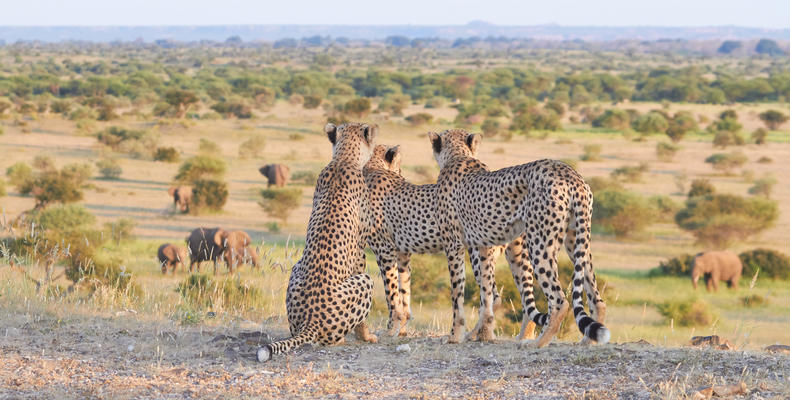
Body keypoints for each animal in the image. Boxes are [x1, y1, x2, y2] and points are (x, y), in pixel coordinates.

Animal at [257, 123, 379, 362]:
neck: (344, 158)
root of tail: (310, 322)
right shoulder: (360, 249)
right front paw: (366, 336)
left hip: (296, 270)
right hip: (365, 281)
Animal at [427, 128, 609, 347]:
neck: (458, 155)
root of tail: (569, 173)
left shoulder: (454, 246)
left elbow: (457, 295)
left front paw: (455, 336)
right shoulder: (483, 247)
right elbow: (487, 294)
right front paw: (483, 333)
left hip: (539, 243)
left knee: (559, 301)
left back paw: (538, 342)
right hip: (575, 240)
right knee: (595, 296)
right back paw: (588, 341)